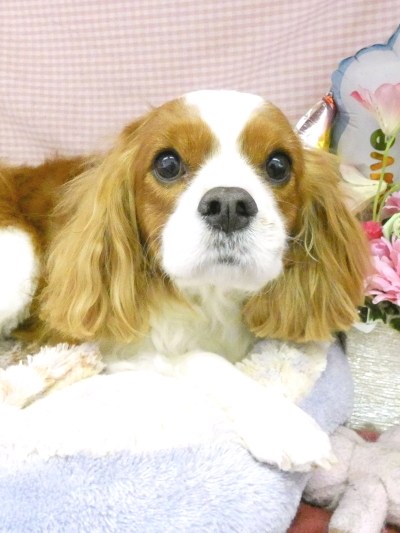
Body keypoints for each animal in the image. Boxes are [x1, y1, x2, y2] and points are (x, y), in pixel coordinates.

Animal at [0, 90, 370, 471]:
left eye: (278, 165)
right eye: (167, 164)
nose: (228, 204)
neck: (210, 295)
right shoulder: (119, 346)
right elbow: (202, 360)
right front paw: (280, 421)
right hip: (17, 263)